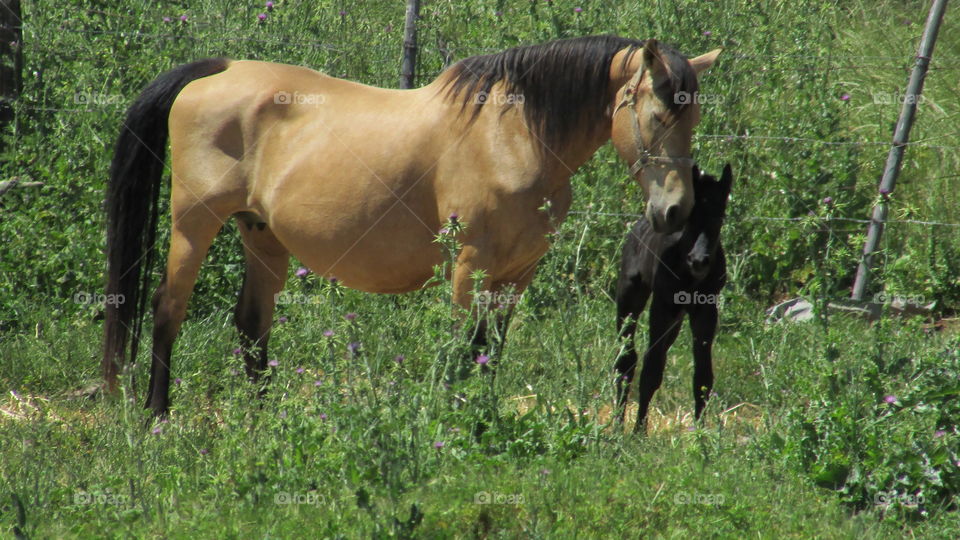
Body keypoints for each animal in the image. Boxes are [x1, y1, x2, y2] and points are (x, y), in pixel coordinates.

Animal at [100, 35, 721, 416]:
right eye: (657, 113)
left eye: (693, 114)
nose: (675, 211)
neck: (514, 135)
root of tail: (219, 70)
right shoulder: (470, 267)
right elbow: (462, 349)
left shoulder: (516, 277)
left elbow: (491, 352)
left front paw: (484, 420)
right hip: (193, 225)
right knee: (168, 309)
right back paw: (157, 417)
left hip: (261, 235)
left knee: (252, 328)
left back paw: (261, 419)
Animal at [614, 164, 733, 433]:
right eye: (691, 218)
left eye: (720, 217)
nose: (699, 261)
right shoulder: (662, 305)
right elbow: (651, 368)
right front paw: (639, 432)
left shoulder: (706, 309)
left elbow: (703, 376)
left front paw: (701, 434)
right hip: (630, 295)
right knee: (626, 359)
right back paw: (617, 424)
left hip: (676, 320)